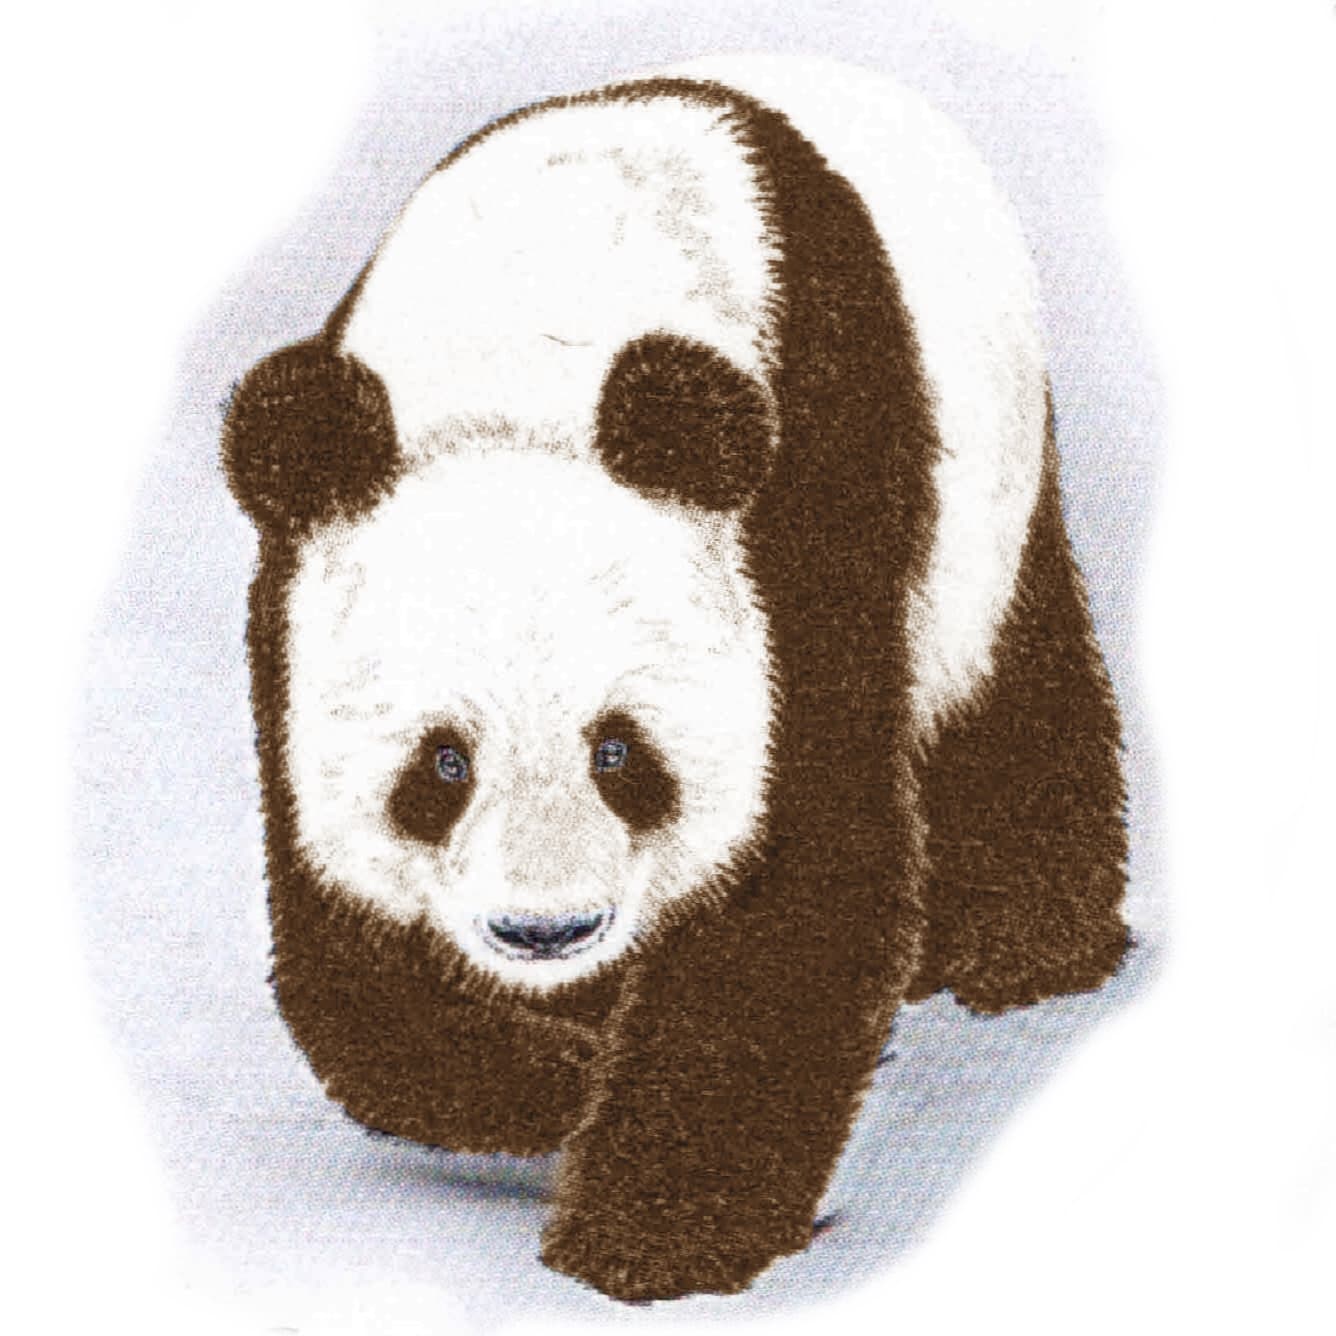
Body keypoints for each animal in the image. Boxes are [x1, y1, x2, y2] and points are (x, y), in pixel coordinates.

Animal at [222, 55, 1128, 1302]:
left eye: (620, 751)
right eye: (440, 766)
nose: (545, 931)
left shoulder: (806, 490)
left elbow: (798, 868)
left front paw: (649, 1227)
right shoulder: (295, 588)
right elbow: (343, 935)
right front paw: (554, 1080)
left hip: (988, 477)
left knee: (1008, 695)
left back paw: (1020, 946)